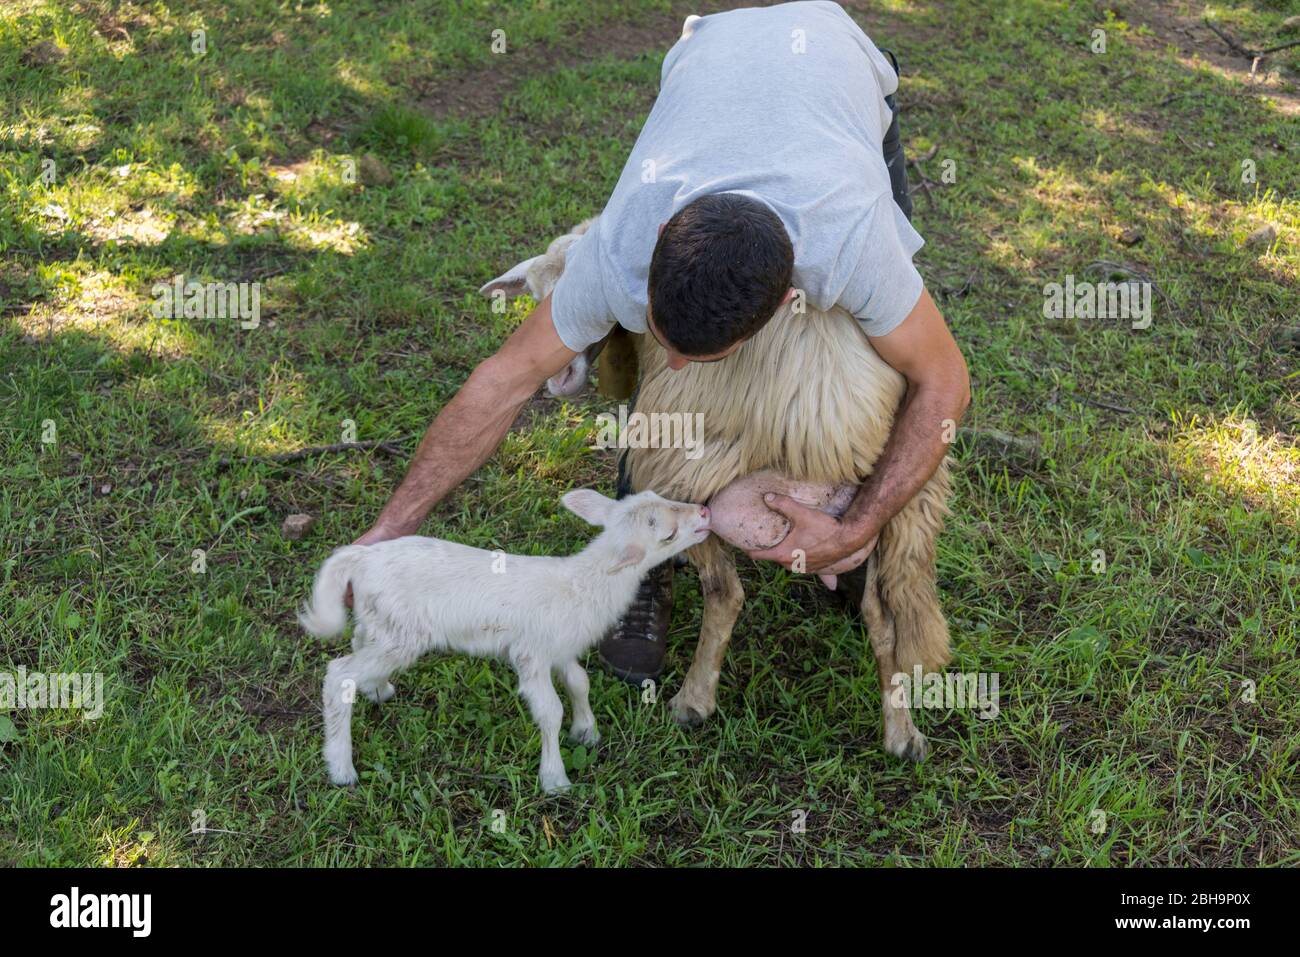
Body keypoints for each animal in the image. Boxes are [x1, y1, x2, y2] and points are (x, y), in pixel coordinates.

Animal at [297, 488, 712, 790]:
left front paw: (587, 731)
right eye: (668, 534)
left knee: (358, 645)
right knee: (338, 675)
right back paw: (341, 767)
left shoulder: (560, 648)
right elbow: (550, 711)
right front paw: (555, 778)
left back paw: (377, 688)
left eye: (659, 495)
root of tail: (362, 558)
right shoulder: (532, 654)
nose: (706, 514)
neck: (582, 584)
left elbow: (580, 682)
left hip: (383, 623)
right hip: (400, 634)